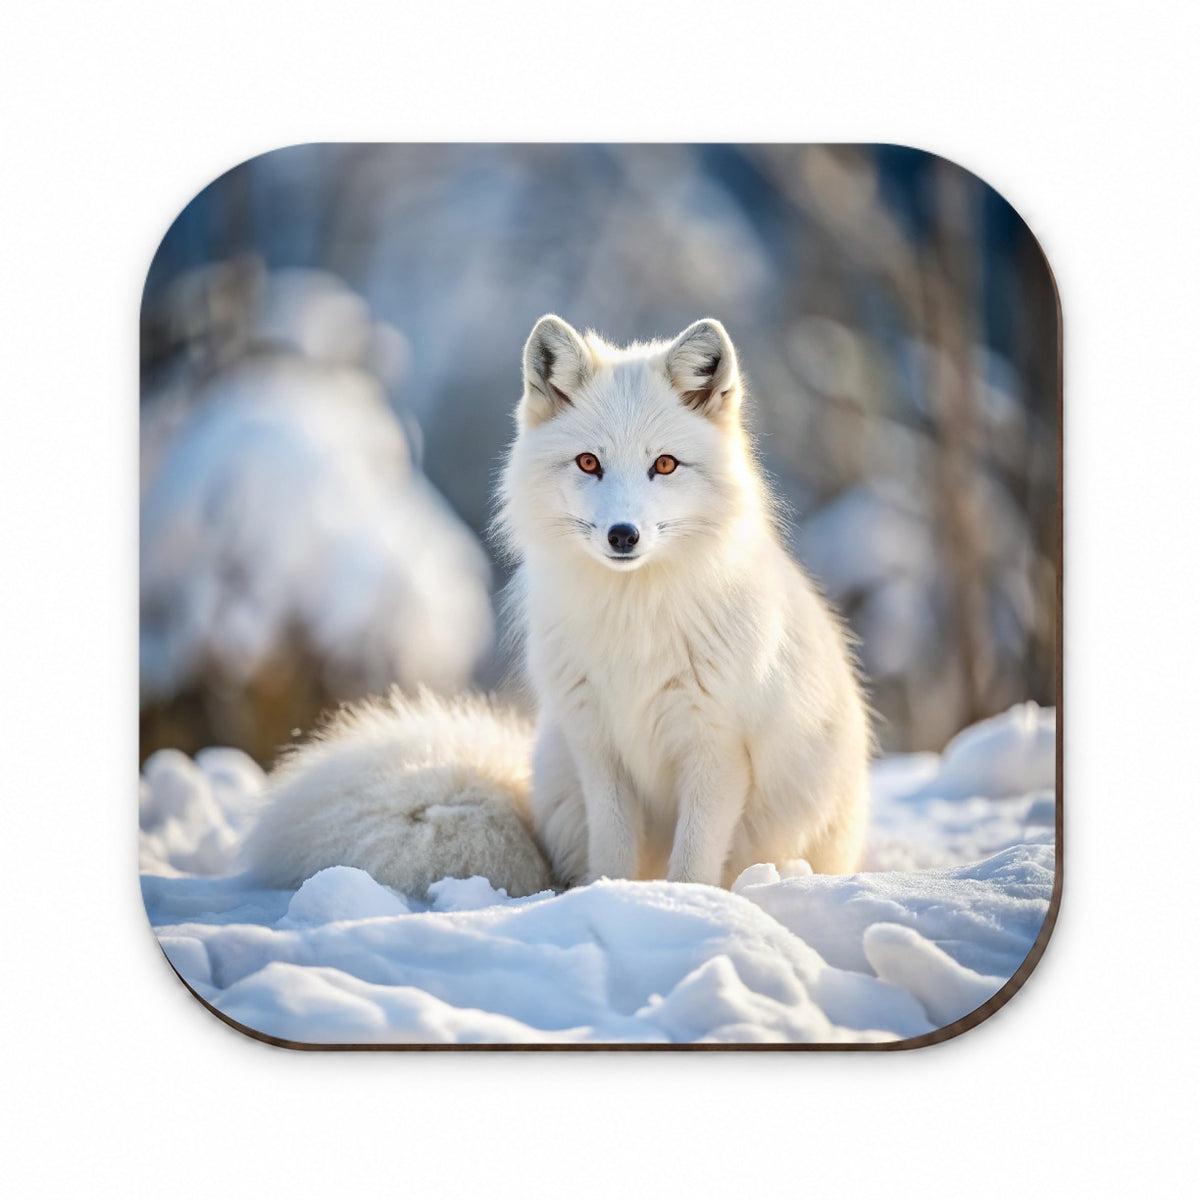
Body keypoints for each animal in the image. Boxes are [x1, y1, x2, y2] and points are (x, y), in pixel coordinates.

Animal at [244, 316, 870, 896]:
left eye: (665, 465)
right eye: (588, 463)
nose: (623, 535)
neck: (632, 622)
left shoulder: (715, 748)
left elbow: (694, 861)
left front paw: (684, 904)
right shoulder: (596, 741)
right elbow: (613, 849)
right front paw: (611, 897)